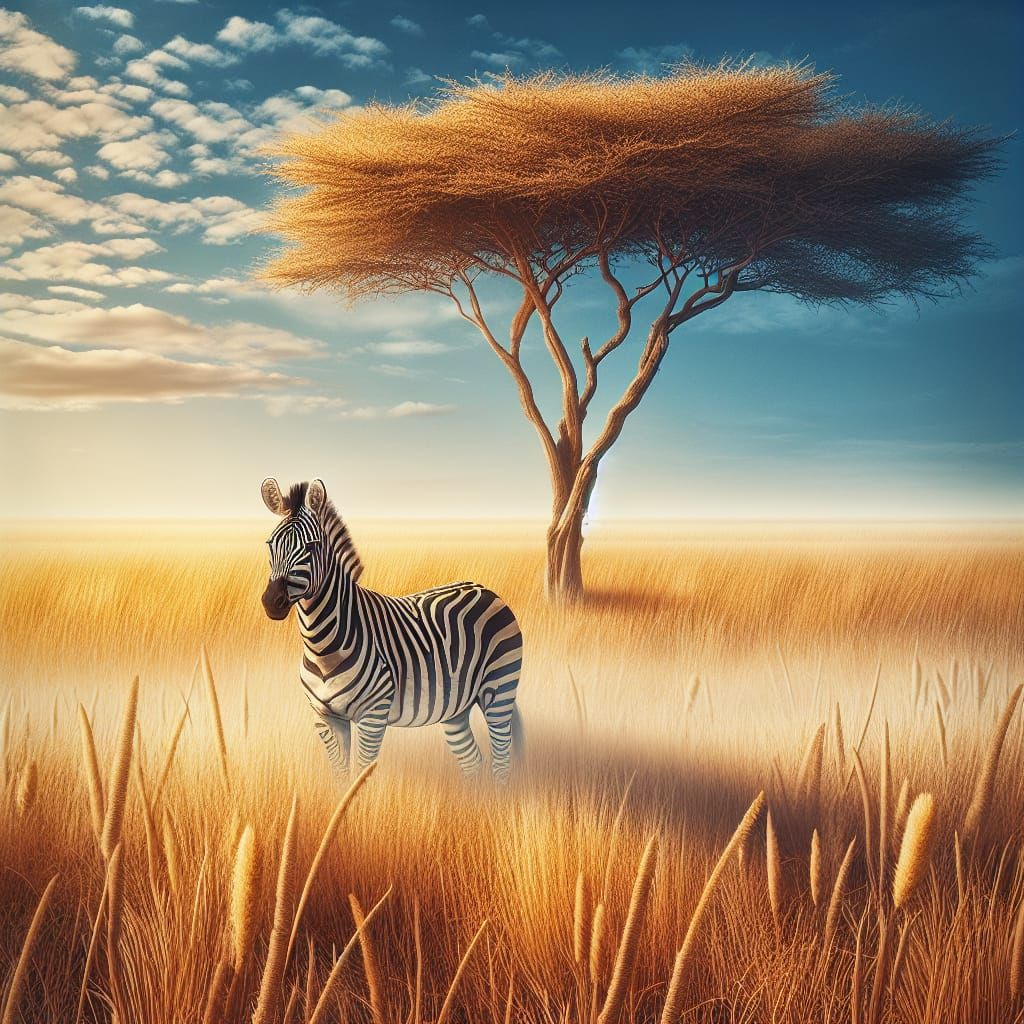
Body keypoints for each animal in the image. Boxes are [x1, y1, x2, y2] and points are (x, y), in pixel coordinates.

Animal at [260, 477, 524, 781]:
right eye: (270, 544)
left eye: (311, 547)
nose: (272, 602)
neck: (322, 646)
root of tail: (484, 588)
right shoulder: (326, 718)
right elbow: (341, 777)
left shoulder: (373, 715)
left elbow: (361, 774)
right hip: (456, 706)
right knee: (473, 762)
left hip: (499, 688)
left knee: (500, 762)